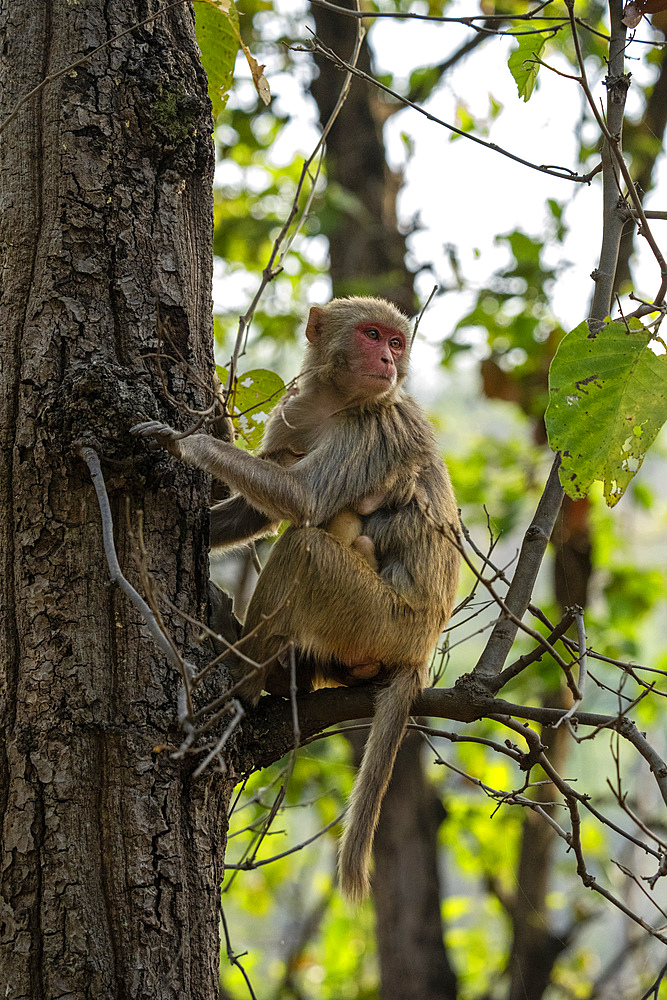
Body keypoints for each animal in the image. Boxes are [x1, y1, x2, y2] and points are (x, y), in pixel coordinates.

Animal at [133, 294, 462, 900]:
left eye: (396, 342)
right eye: (372, 335)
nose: (388, 359)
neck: (338, 401)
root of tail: (421, 652)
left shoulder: (373, 427)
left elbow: (304, 500)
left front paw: (184, 441)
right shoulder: (296, 411)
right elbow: (258, 510)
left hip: (379, 620)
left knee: (305, 549)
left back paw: (241, 678)